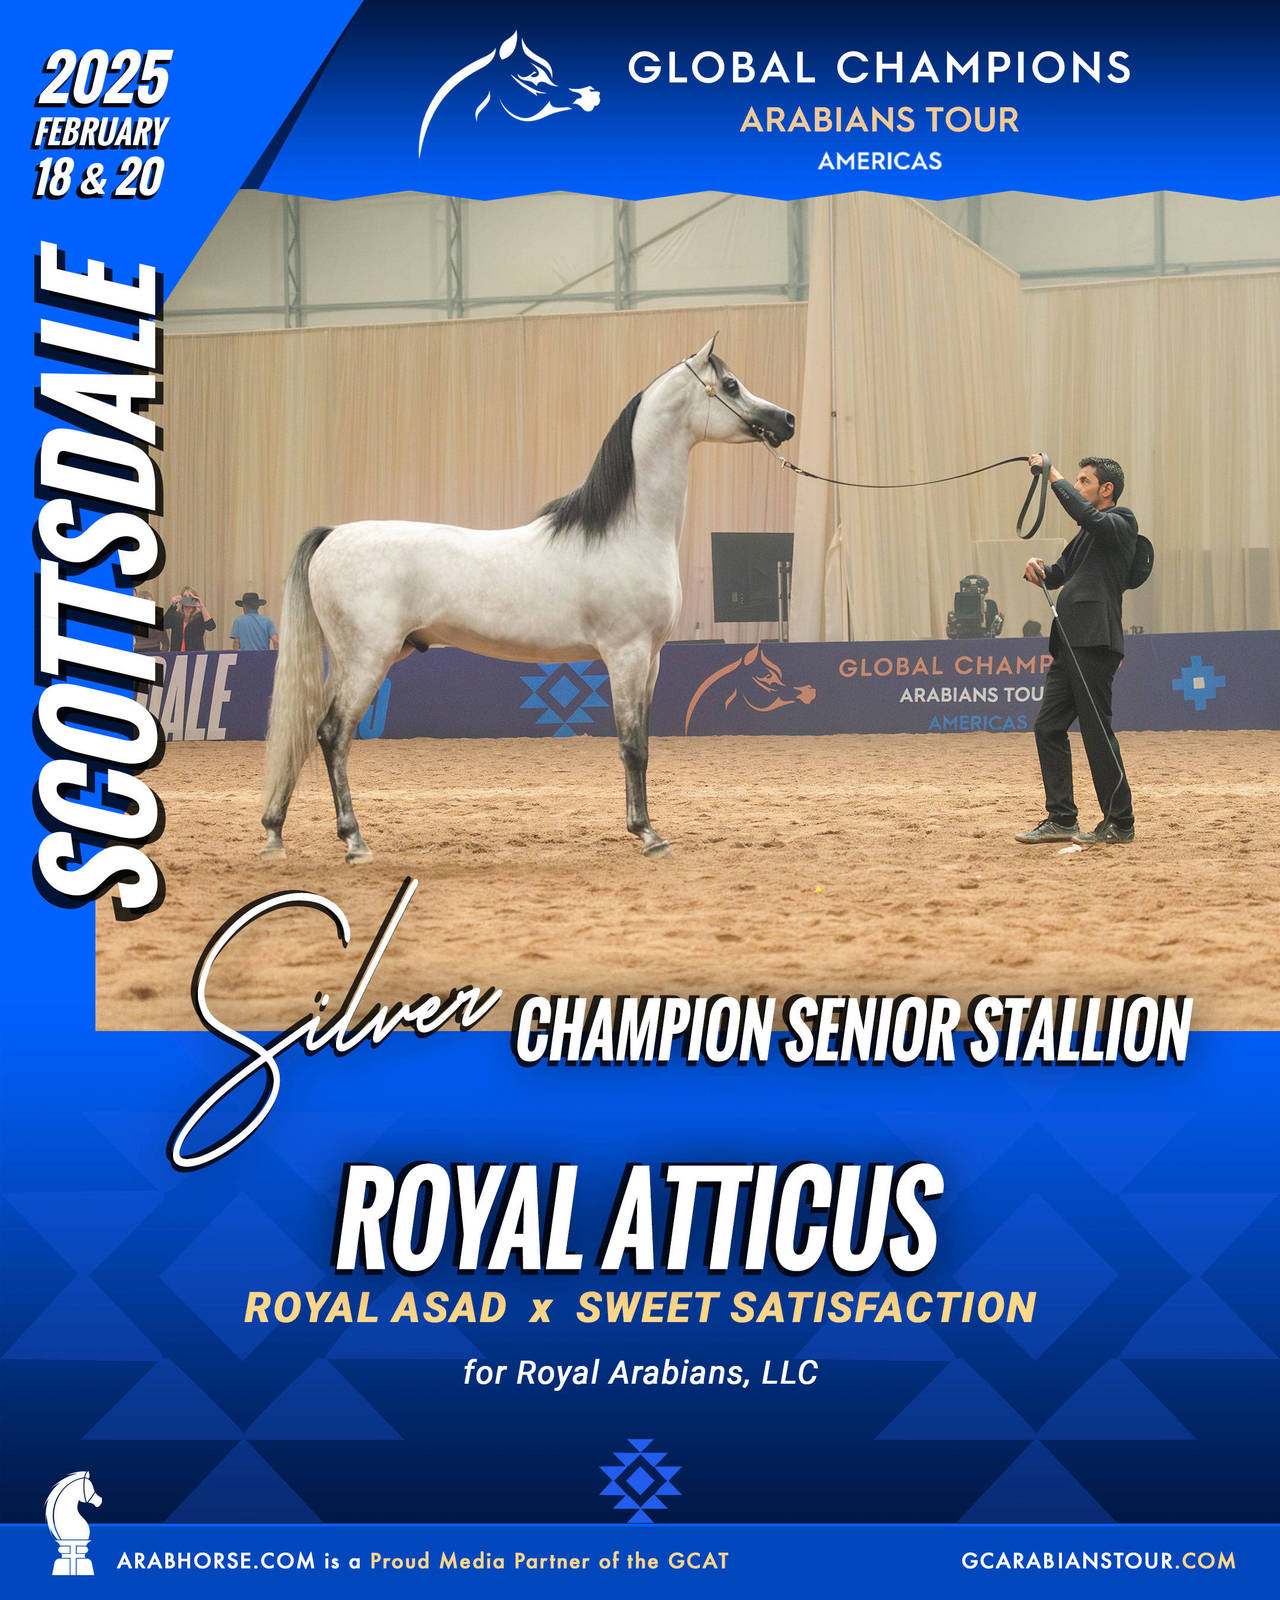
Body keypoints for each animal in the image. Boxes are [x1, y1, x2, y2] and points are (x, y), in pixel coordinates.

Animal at [261, 335, 794, 864]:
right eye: (731, 384)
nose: (786, 420)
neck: (630, 531)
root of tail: (333, 535)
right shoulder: (626, 654)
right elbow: (631, 747)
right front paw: (648, 834)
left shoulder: (652, 659)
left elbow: (641, 742)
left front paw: (640, 825)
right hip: (368, 661)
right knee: (333, 735)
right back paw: (354, 841)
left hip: (346, 663)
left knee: (305, 731)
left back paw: (274, 833)